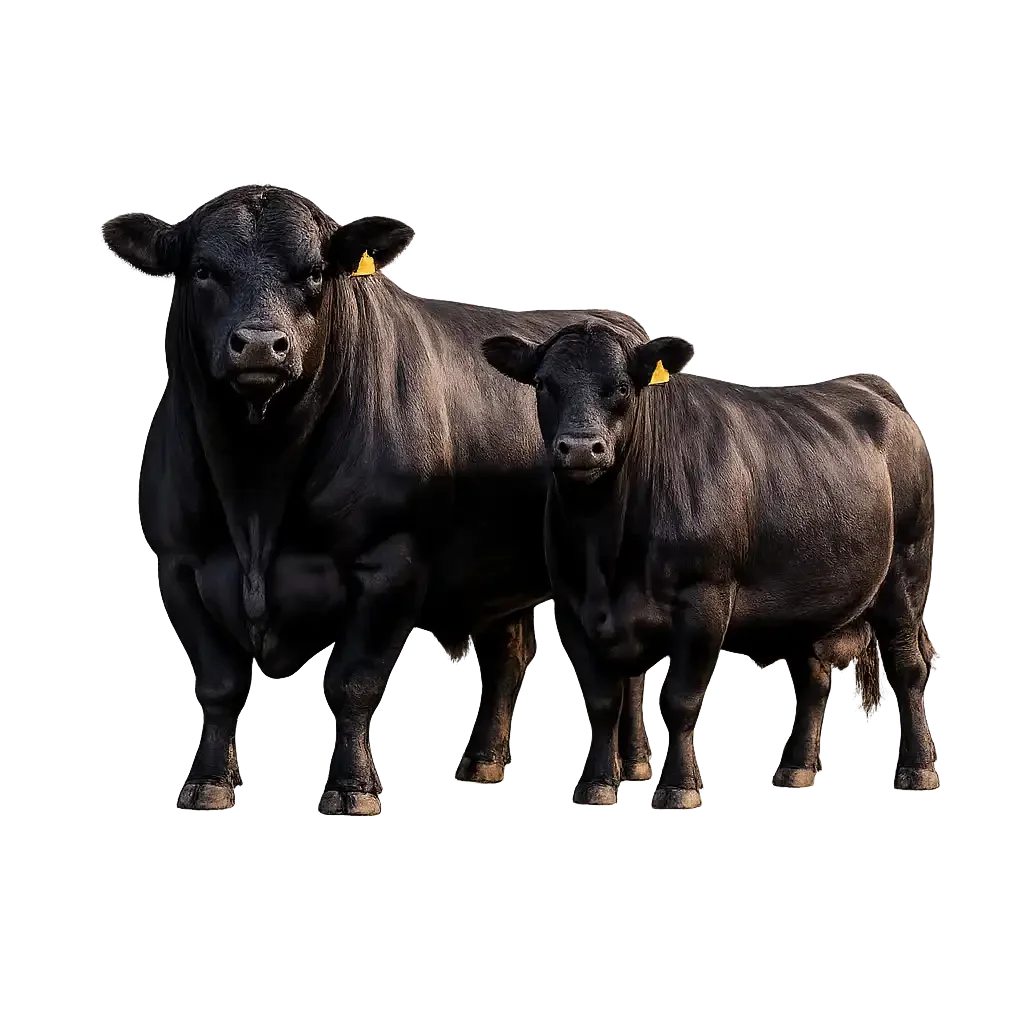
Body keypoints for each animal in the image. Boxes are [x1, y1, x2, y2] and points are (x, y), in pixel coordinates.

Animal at [104, 185, 657, 815]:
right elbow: (220, 684)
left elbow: (354, 682)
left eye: (315, 272)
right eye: (202, 270)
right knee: (507, 657)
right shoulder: (180, 566)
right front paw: (208, 782)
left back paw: (634, 765)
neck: (256, 492)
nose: (261, 346)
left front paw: (351, 787)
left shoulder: (390, 563)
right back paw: (483, 761)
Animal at [481, 320, 939, 808]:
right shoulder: (572, 607)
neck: (608, 554)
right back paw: (795, 769)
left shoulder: (704, 601)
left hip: (906, 575)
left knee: (908, 669)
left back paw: (917, 769)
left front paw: (679, 787)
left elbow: (680, 700)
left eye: (622, 386)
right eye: (543, 384)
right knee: (812, 680)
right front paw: (596, 784)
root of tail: (867, 386)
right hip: (805, 602)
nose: (583, 449)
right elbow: (602, 701)